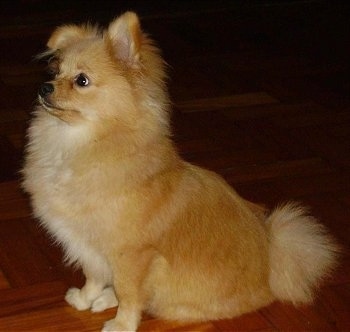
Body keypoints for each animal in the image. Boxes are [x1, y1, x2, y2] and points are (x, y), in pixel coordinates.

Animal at [21, 11, 340, 332]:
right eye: (55, 72)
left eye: (82, 80)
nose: (44, 87)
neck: (78, 143)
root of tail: (271, 266)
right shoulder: (87, 244)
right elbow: (94, 276)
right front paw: (87, 298)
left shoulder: (131, 255)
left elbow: (129, 293)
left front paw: (122, 324)